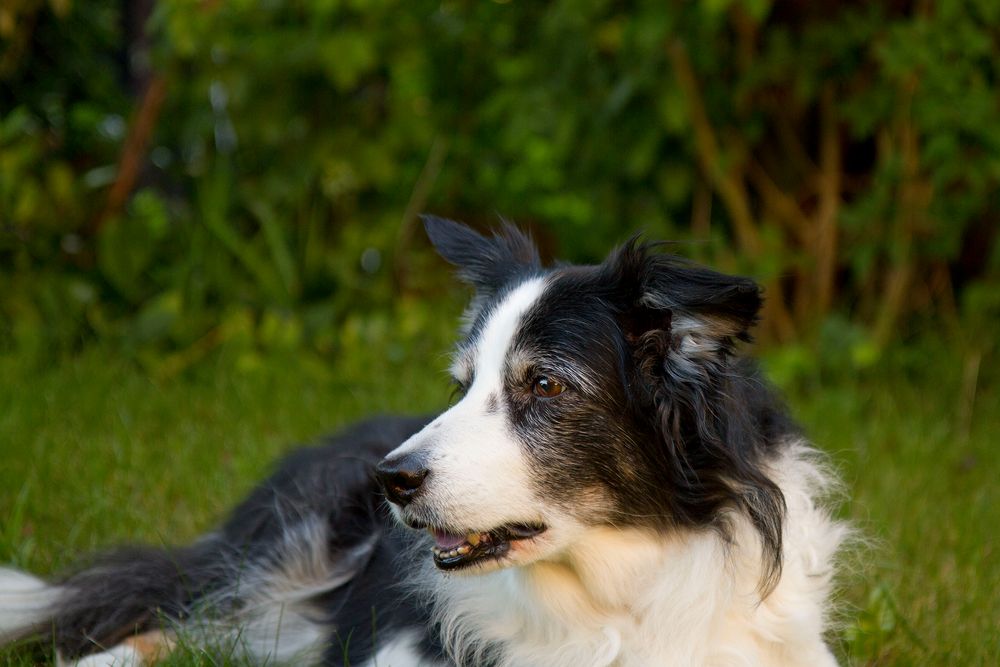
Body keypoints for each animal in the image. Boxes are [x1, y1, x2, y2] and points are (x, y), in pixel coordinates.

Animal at [0, 217, 848, 664]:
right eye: (463, 382)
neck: (612, 599)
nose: (392, 480)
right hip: (284, 554)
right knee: (168, 622)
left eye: (545, 386)